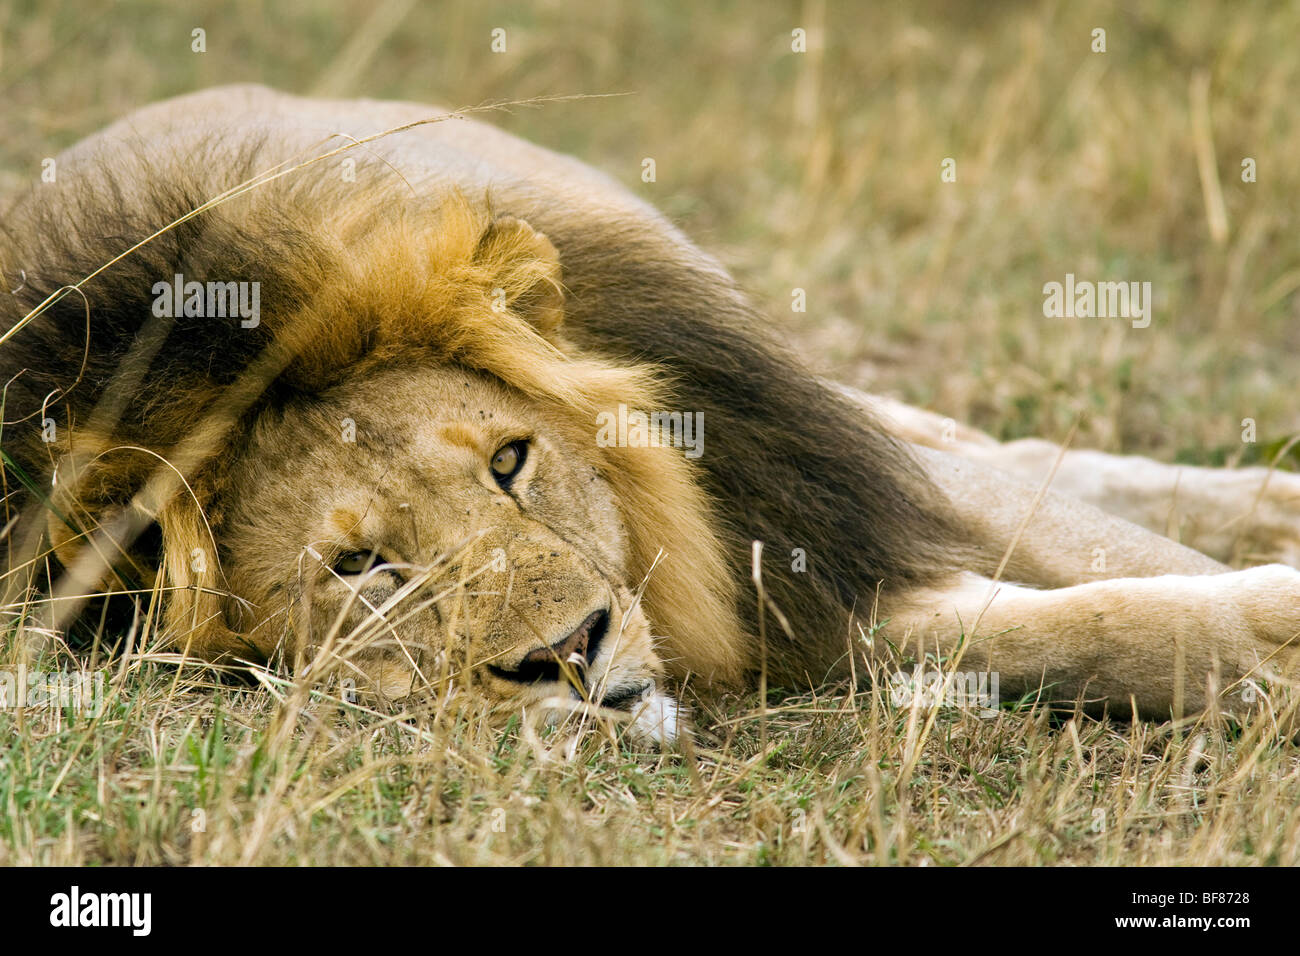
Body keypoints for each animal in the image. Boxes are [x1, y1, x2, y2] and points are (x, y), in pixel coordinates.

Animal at [2, 85, 1300, 743]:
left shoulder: (801, 493)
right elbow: (1066, 629)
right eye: (360, 567)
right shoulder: (811, 605)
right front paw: (1252, 641)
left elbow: (1090, 546)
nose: (570, 653)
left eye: (511, 460)